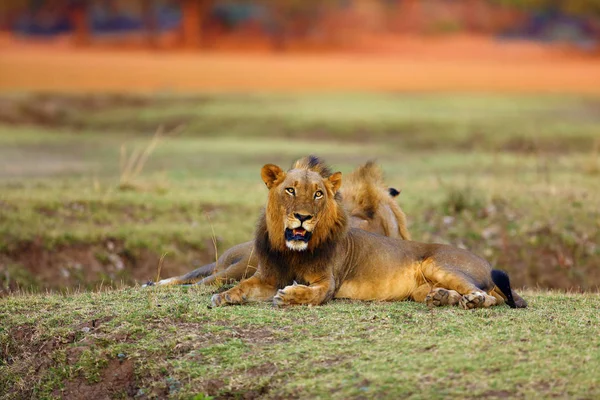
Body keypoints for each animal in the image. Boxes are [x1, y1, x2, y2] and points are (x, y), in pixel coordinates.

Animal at [210, 156, 524, 310]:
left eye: (318, 194)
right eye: (290, 190)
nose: (302, 217)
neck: (291, 251)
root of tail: (486, 263)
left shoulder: (328, 282)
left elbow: (313, 294)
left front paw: (289, 297)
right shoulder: (267, 277)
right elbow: (243, 286)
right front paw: (224, 296)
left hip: (440, 264)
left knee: (489, 297)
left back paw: (473, 300)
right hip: (421, 289)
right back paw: (443, 298)